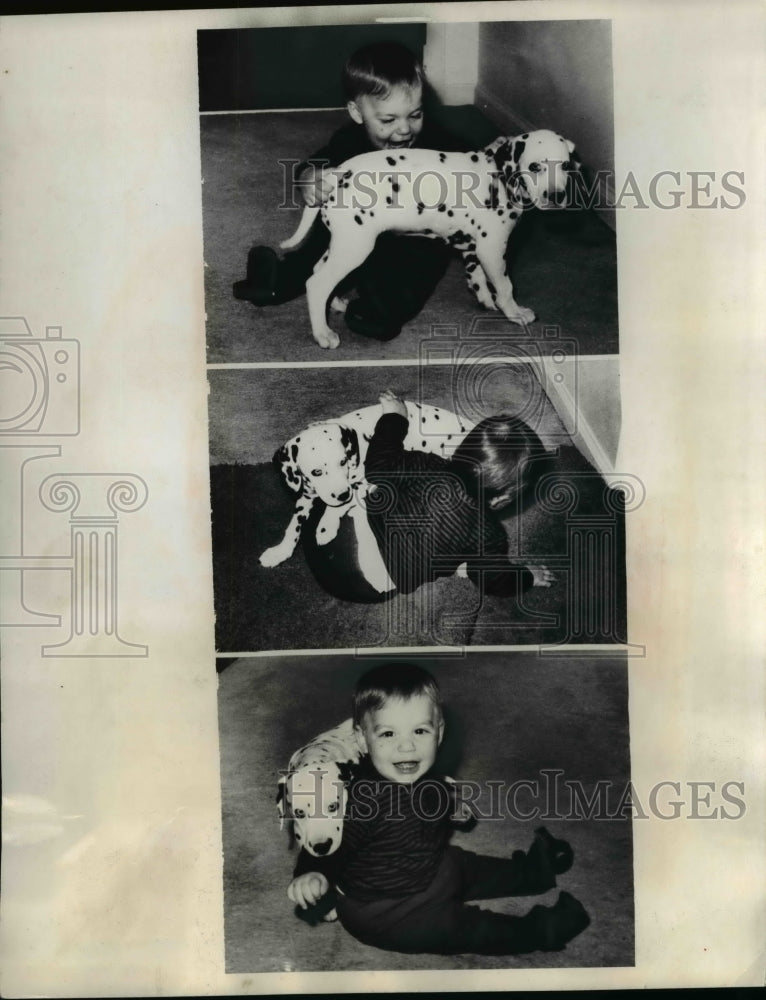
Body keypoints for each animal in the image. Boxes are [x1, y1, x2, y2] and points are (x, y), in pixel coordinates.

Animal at [260, 396, 476, 588]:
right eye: (317, 472)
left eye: (342, 462)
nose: (342, 495)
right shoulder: (306, 495)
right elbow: (293, 526)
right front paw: (280, 551)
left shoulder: (366, 483)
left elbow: (340, 504)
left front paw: (326, 525)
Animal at [280, 129, 580, 350]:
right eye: (535, 166)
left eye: (565, 165)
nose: (556, 196)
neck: (500, 176)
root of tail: (337, 174)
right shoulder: (493, 248)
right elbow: (505, 286)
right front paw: (514, 312)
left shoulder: (475, 248)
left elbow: (478, 276)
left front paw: (485, 298)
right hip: (355, 248)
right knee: (316, 283)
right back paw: (323, 333)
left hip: (344, 244)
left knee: (319, 269)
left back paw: (336, 303)